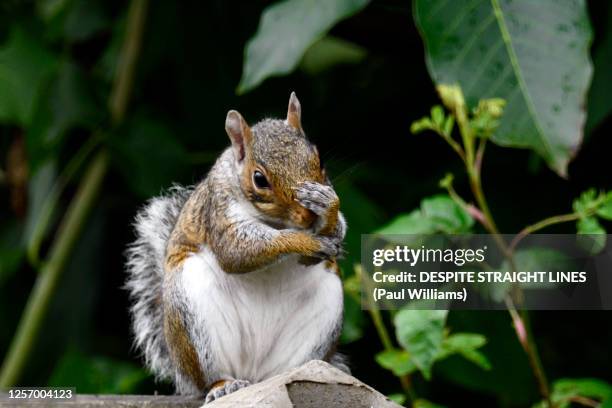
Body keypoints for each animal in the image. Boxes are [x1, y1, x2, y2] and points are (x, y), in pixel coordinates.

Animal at [126, 93, 346, 404]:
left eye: (320, 159)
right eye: (259, 179)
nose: (308, 217)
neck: (277, 222)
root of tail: (253, 374)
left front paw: (327, 207)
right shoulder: (218, 210)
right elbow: (237, 251)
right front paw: (307, 239)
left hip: (325, 309)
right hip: (191, 308)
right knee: (210, 376)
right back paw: (222, 385)